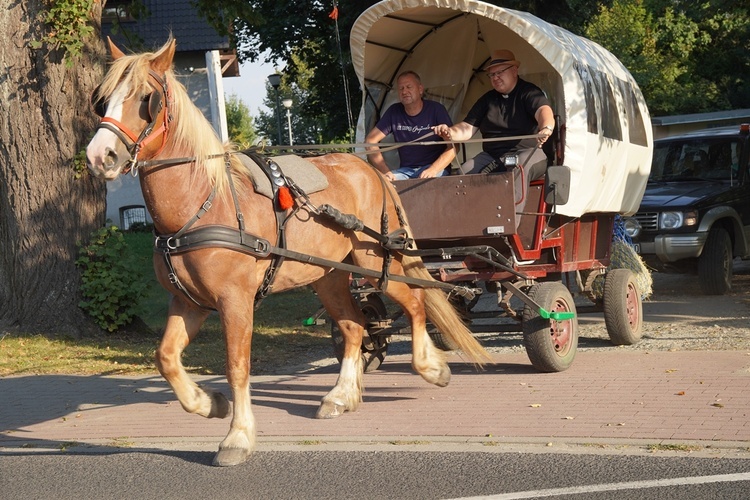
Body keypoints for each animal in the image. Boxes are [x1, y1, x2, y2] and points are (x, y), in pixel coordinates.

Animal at [85, 38, 494, 464]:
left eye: (145, 99)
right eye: (102, 99)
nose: (100, 155)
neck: (203, 202)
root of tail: (371, 170)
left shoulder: (235, 300)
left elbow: (237, 366)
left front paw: (238, 436)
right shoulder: (189, 302)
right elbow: (165, 358)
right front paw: (209, 403)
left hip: (375, 261)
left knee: (414, 303)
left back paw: (430, 367)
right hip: (330, 276)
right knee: (354, 325)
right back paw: (340, 396)